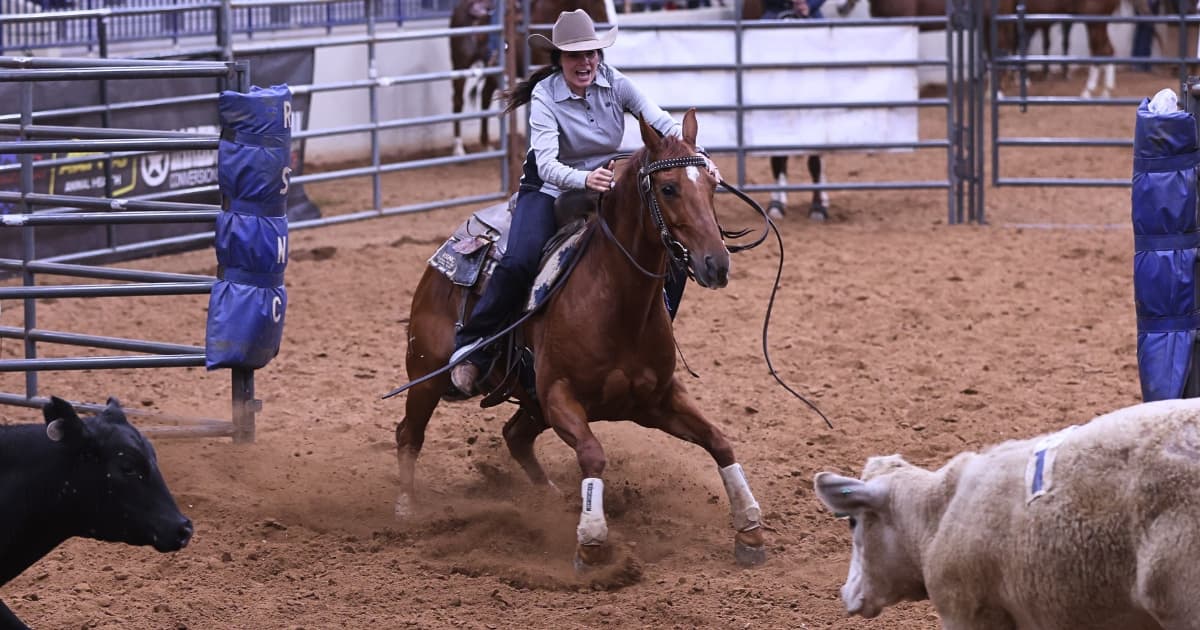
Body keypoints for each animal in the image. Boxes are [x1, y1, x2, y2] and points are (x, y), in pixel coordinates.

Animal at [394, 109, 769, 569]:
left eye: (713, 185)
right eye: (668, 188)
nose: (716, 264)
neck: (618, 303)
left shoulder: (658, 399)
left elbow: (720, 441)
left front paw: (749, 528)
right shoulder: (559, 395)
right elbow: (593, 454)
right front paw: (591, 542)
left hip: (529, 399)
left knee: (515, 437)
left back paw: (552, 502)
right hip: (427, 375)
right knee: (409, 434)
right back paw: (407, 509)